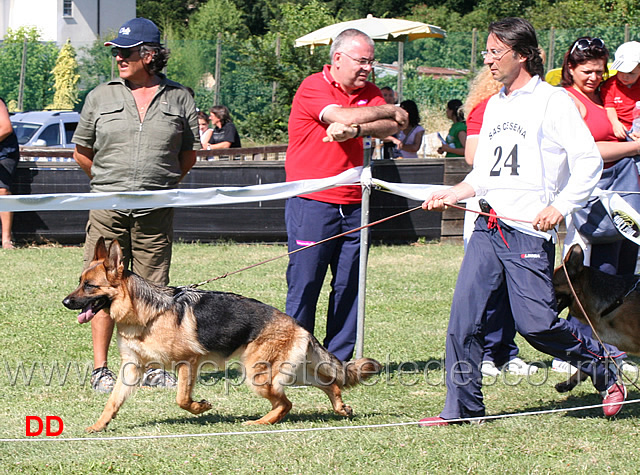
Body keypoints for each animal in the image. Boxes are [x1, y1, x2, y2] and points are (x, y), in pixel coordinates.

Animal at [63, 240, 380, 434]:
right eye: (80, 282)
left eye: (89, 286)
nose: (65, 302)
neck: (145, 314)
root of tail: (298, 325)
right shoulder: (131, 369)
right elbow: (113, 402)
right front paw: (99, 426)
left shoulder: (188, 363)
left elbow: (182, 398)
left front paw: (200, 407)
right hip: (287, 373)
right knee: (327, 384)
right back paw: (339, 407)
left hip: (258, 376)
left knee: (286, 404)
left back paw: (259, 422)